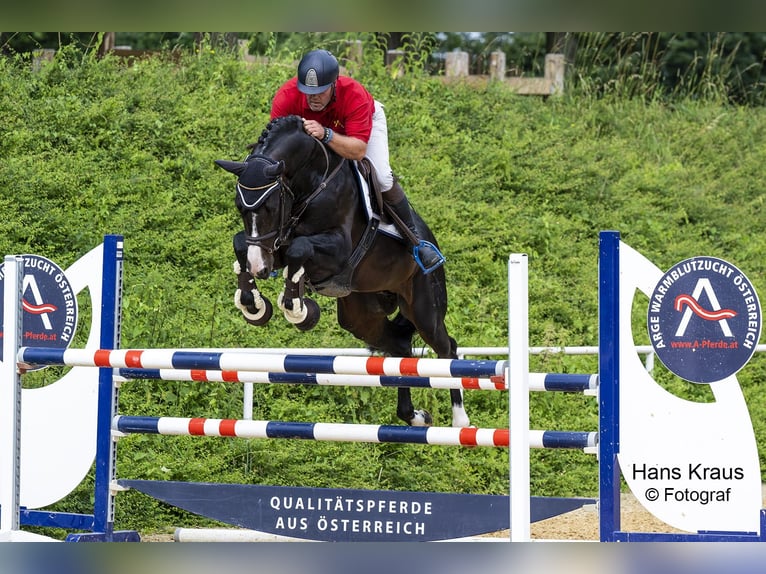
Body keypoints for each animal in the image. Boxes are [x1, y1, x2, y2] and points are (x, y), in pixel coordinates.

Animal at [214, 115, 468, 430]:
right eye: (240, 207)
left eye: (271, 206)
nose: (259, 268)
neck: (312, 183)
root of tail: (431, 241)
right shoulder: (273, 244)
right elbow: (244, 242)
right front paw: (254, 305)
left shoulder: (338, 249)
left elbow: (299, 248)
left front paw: (297, 309)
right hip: (361, 315)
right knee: (399, 347)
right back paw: (415, 416)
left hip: (423, 308)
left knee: (447, 349)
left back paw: (460, 419)